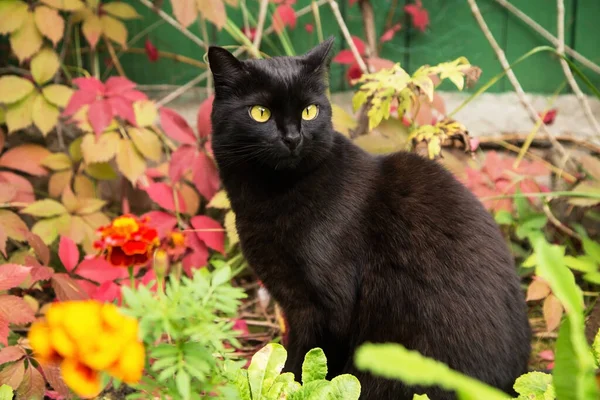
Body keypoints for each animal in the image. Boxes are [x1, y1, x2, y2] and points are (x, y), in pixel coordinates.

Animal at [207, 38, 528, 400]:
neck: (274, 196)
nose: (292, 137)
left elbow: (305, 359)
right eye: (260, 113)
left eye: (309, 111)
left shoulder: (328, 305)